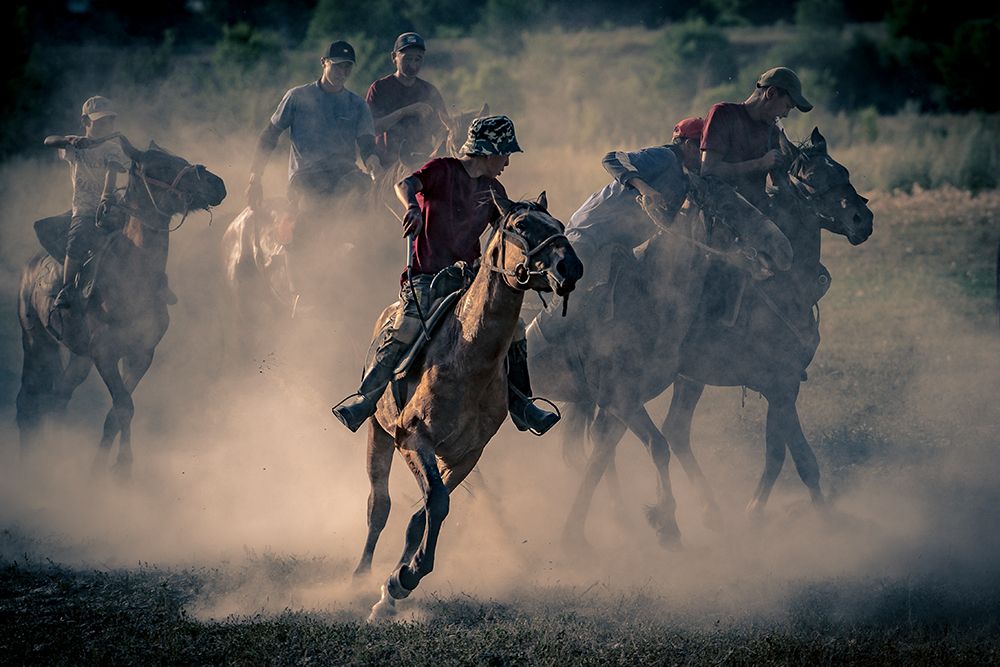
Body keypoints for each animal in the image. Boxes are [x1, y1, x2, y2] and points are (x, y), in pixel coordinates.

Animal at [17, 138, 227, 478]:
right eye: (160, 166)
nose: (217, 184)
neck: (134, 274)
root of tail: (30, 266)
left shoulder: (140, 354)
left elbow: (117, 412)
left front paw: (106, 468)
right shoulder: (105, 354)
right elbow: (124, 406)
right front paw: (122, 467)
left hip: (79, 357)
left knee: (59, 396)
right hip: (36, 341)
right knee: (27, 402)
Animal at [354, 192, 584, 620]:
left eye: (558, 223)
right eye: (522, 225)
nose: (571, 267)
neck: (468, 359)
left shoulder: (467, 454)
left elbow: (427, 511)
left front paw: (398, 582)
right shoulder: (413, 440)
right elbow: (431, 503)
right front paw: (402, 578)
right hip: (378, 431)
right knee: (378, 505)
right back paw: (358, 577)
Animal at [528, 175, 792, 552]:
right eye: (728, 207)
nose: (783, 248)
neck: (647, 295)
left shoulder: (621, 404)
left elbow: (601, 459)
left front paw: (581, 532)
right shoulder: (621, 398)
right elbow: (657, 446)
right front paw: (665, 522)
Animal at [564, 128, 876, 536]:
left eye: (842, 170)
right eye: (811, 178)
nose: (862, 219)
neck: (783, 284)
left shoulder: (782, 386)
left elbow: (781, 452)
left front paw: (765, 511)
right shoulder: (780, 385)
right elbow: (797, 457)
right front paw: (804, 517)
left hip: (684, 381)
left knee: (662, 431)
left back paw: (698, 510)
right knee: (617, 436)